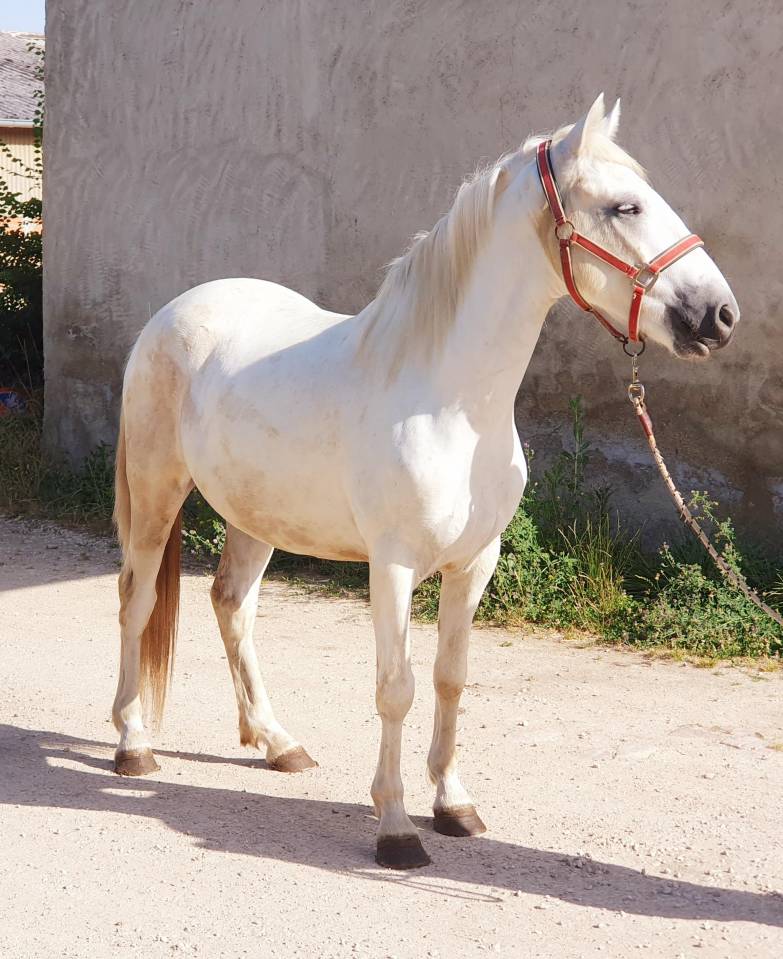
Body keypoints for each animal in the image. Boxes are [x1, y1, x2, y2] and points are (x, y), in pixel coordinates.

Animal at [111, 94, 739, 869]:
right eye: (625, 206)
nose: (719, 315)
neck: (452, 399)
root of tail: (172, 314)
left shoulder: (474, 563)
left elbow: (449, 677)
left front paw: (453, 803)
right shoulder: (394, 565)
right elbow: (397, 688)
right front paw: (396, 826)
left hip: (257, 515)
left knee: (232, 605)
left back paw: (278, 742)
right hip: (157, 492)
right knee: (137, 603)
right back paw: (133, 743)